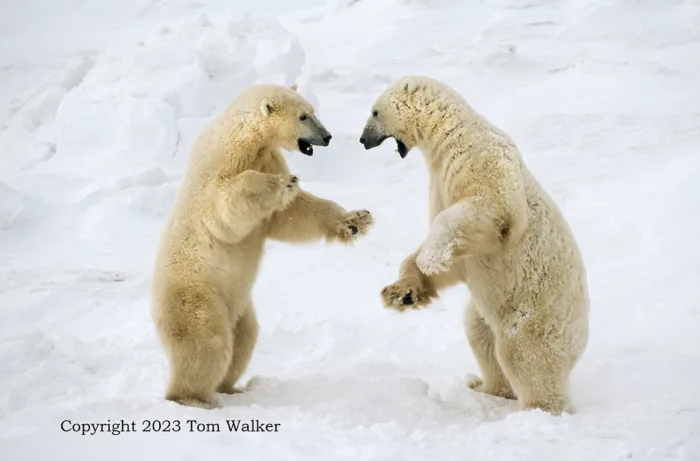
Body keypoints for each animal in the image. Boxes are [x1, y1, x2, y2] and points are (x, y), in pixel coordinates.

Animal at [151, 82, 374, 406]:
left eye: (312, 111)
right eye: (304, 116)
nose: (327, 137)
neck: (244, 138)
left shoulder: (267, 156)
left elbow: (292, 214)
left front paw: (355, 220)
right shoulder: (220, 166)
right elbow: (223, 208)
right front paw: (280, 183)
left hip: (239, 306)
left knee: (244, 339)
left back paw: (232, 387)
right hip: (197, 297)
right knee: (206, 344)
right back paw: (194, 398)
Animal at [360, 74, 592, 414]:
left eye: (374, 112)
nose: (363, 139)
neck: (452, 132)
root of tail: (581, 337)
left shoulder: (479, 160)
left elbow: (490, 208)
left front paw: (429, 259)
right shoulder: (441, 184)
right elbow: (456, 259)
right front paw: (401, 292)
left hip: (536, 313)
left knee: (524, 354)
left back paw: (538, 409)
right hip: (487, 312)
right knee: (480, 336)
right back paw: (484, 387)